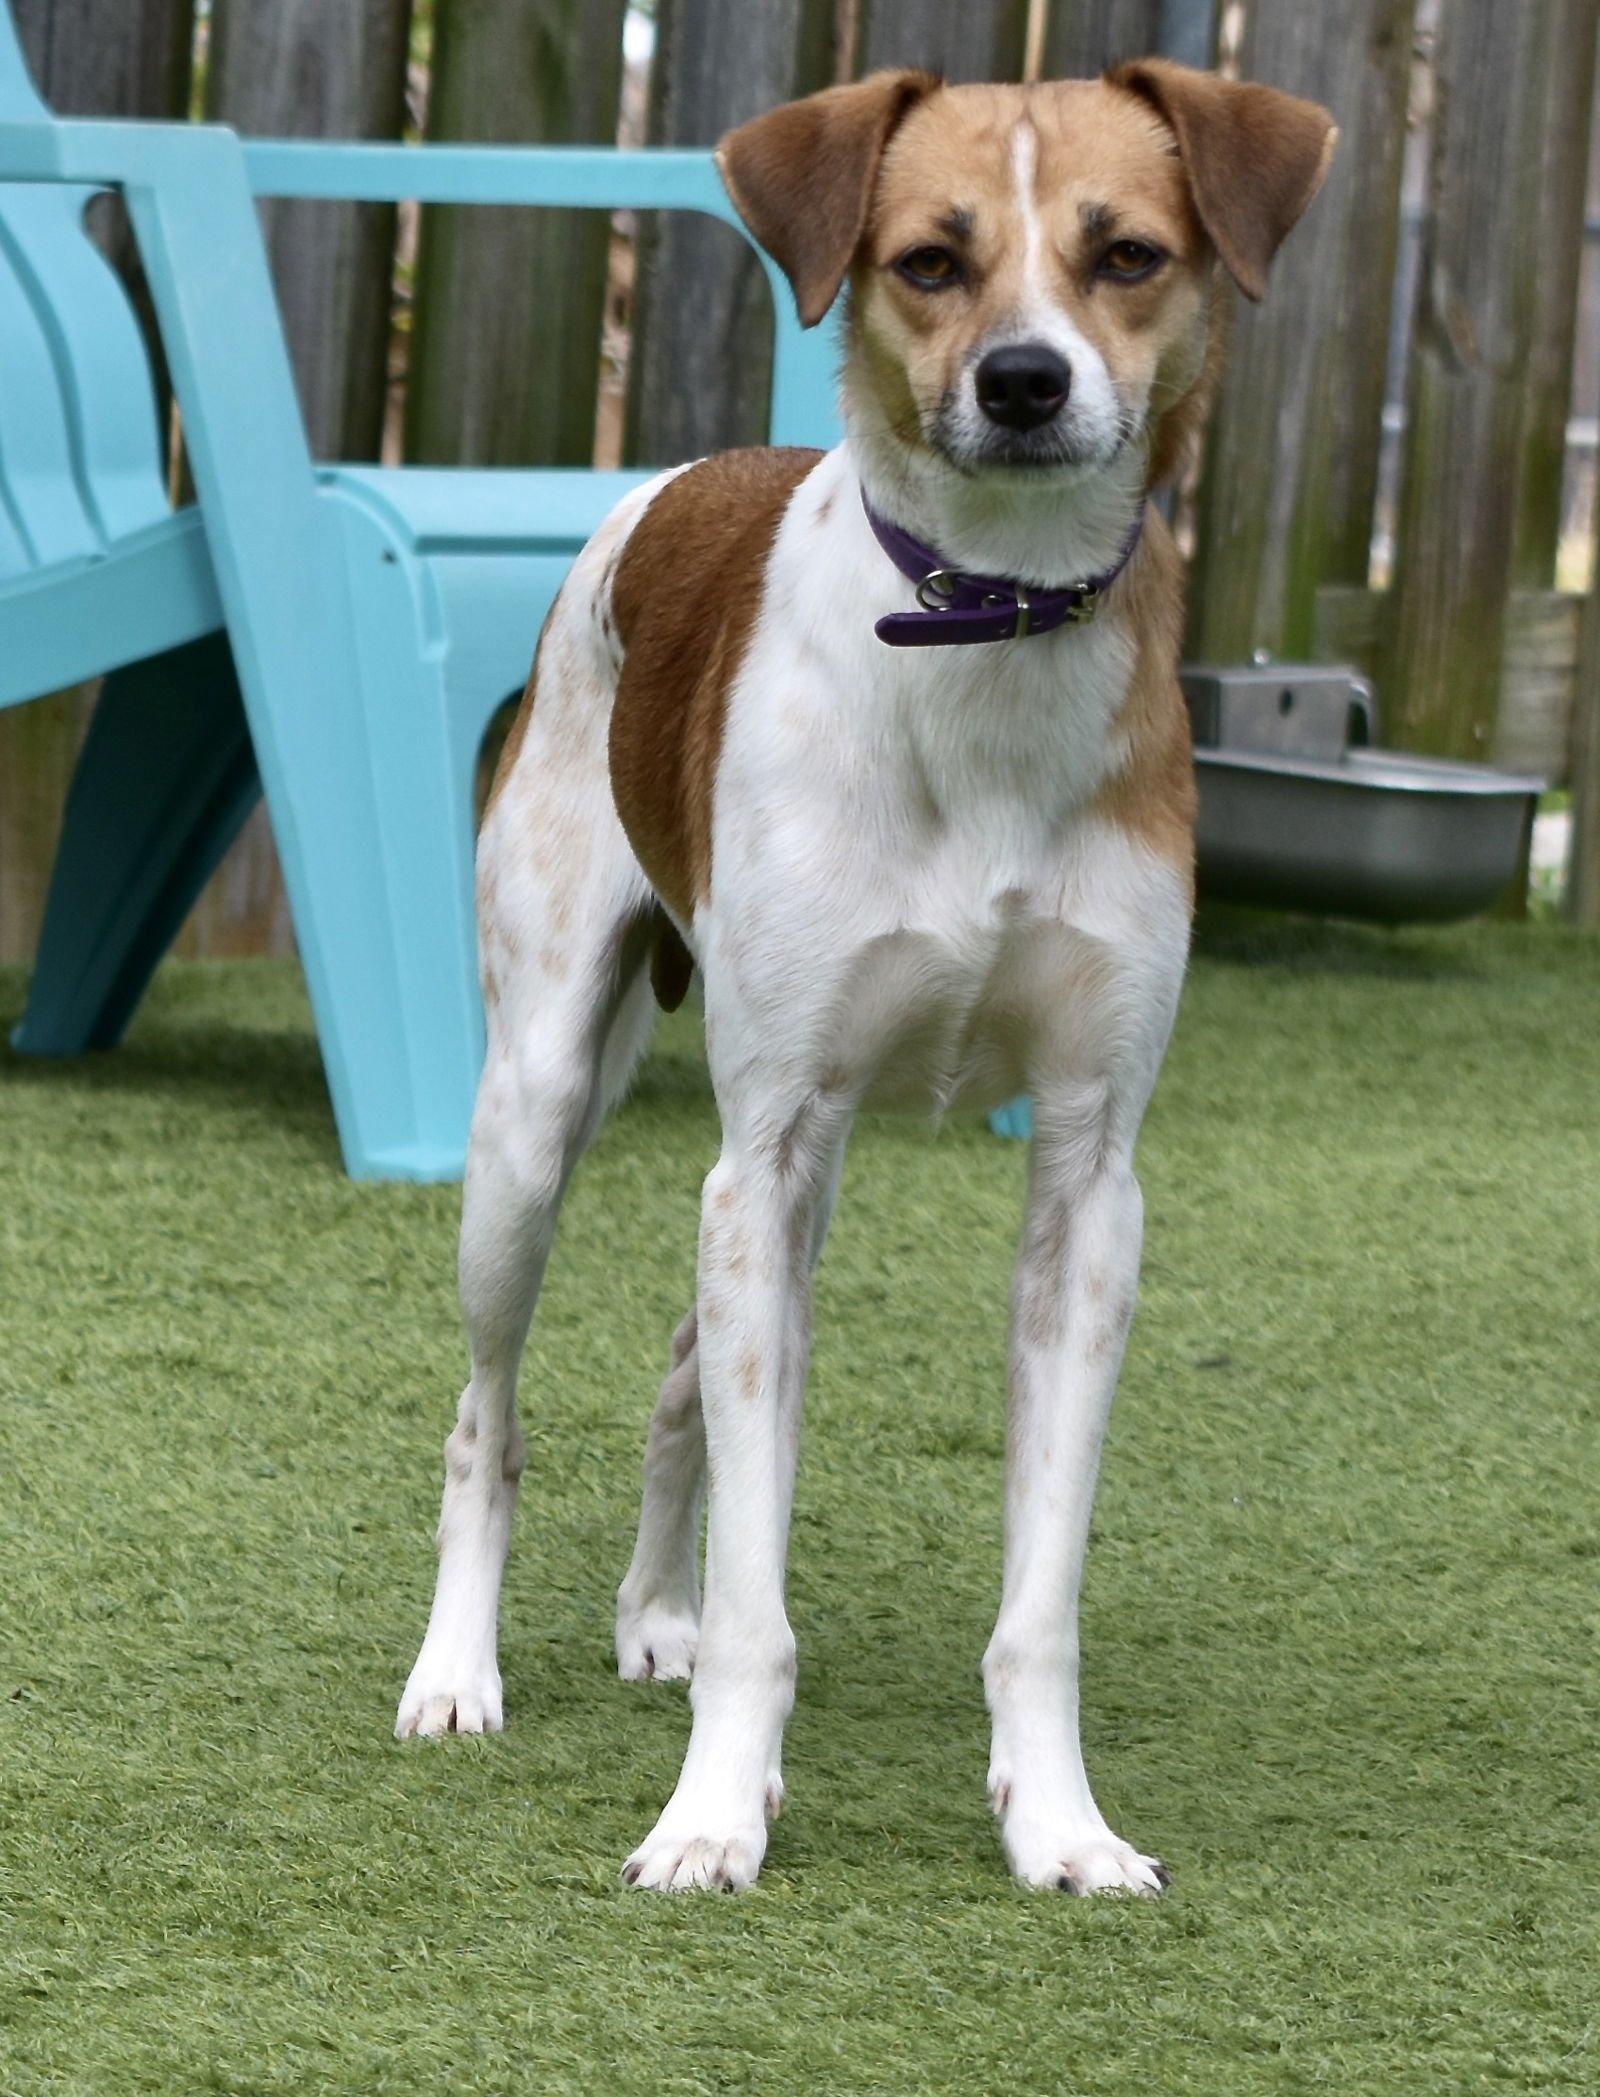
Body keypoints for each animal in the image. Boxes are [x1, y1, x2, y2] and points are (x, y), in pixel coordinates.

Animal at [398, 57, 1342, 1895]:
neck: (983, 637)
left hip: (787, 1178)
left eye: (1126, 253)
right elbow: (764, 1598)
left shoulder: (1084, 1179)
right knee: (489, 1414)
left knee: (683, 1373)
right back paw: (460, 1670)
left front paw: (1060, 1826)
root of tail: (683, 475)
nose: (1026, 379)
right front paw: (710, 1817)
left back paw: (656, 1612)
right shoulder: (763, 1147)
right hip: (537, 1116)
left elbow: (1038, 1601)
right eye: (930, 259)